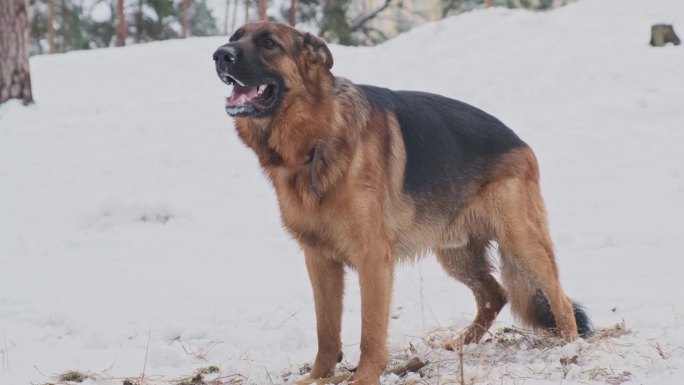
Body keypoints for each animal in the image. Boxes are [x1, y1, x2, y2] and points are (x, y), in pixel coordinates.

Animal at [214, 21, 592, 384]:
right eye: (235, 37)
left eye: (269, 43)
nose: (220, 55)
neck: (317, 136)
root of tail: (519, 140)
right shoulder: (319, 260)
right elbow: (326, 331)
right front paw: (318, 377)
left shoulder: (373, 259)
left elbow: (370, 331)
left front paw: (365, 377)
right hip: (456, 254)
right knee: (494, 295)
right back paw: (462, 343)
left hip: (521, 241)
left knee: (559, 298)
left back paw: (570, 351)